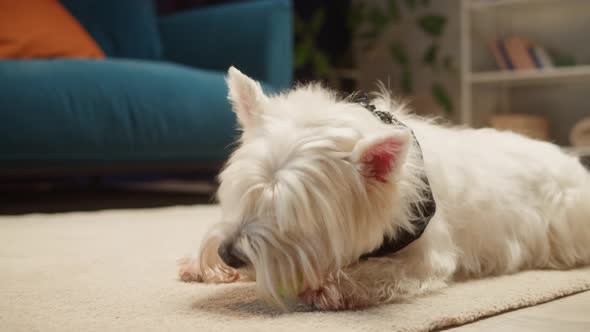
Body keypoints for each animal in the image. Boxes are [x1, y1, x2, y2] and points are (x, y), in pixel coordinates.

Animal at [180, 67, 590, 312]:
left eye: (293, 216)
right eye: (242, 192)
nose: (229, 255)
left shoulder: (430, 256)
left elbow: (382, 273)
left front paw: (331, 287)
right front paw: (201, 267)